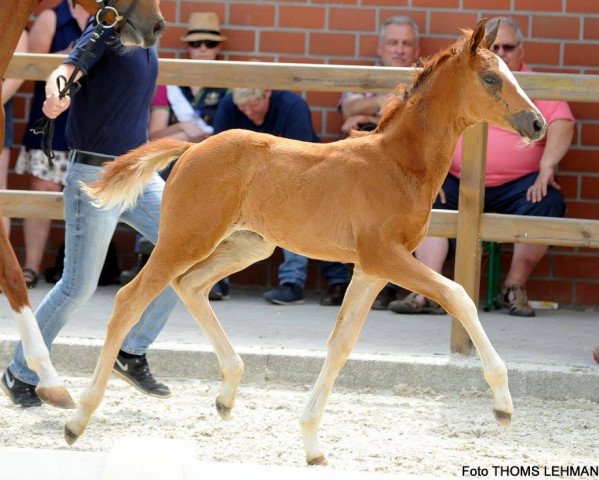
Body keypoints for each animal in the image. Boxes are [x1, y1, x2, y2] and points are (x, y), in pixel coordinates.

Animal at [68, 19, 548, 464]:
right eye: (491, 78)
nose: (538, 123)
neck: (397, 165)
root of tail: (191, 150)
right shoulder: (386, 256)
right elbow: (458, 295)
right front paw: (503, 406)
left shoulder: (372, 269)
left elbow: (341, 344)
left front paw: (312, 443)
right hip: (185, 239)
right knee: (131, 299)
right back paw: (78, 418)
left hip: (248, 244)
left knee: (191, 285)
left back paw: (226, 393)